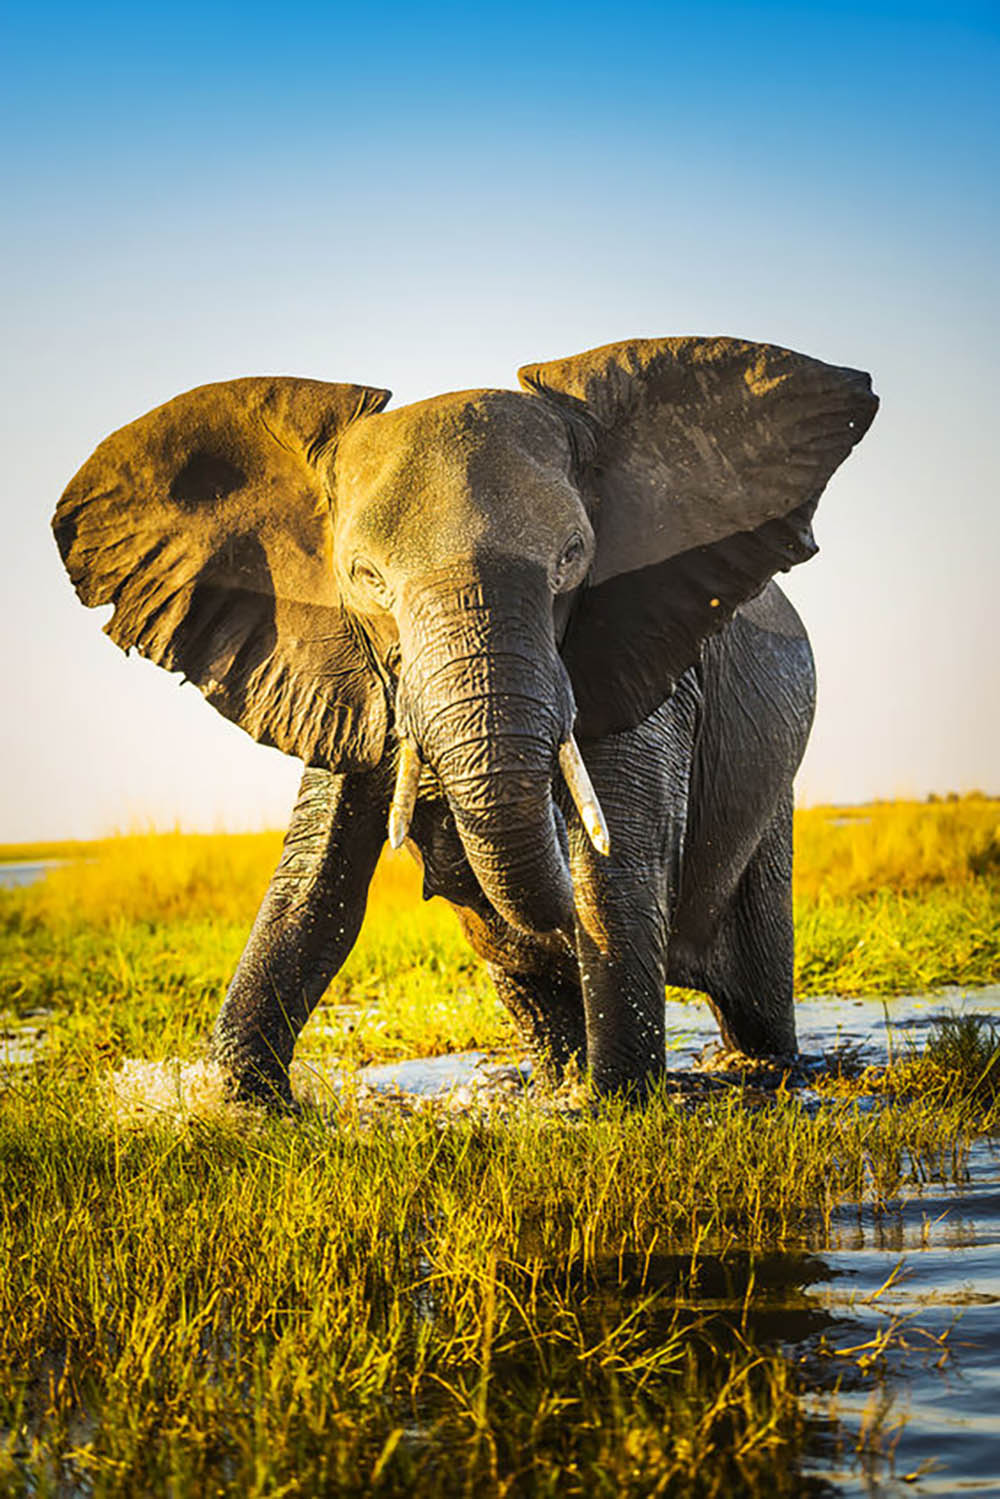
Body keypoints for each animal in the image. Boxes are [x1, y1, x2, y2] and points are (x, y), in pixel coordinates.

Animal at [53, 336, 877, 1105]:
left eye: (572, 556)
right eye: (366, 577)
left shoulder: (643, 652)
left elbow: (614, 878)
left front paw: (616, 1108)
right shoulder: (346, 679)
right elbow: (311, 893)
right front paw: (242, 1110)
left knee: (755, 996)